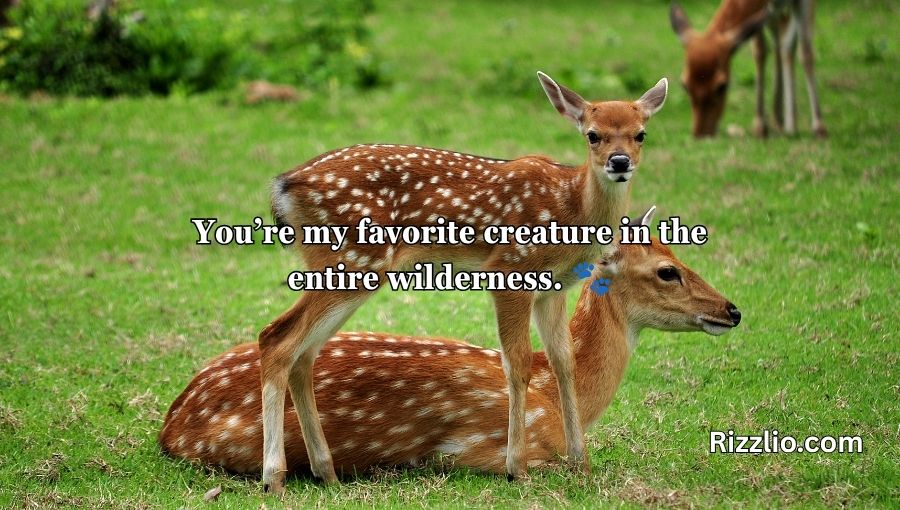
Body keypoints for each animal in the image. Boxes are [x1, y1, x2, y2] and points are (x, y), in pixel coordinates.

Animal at [257, 71, 668, 491]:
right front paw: (516, 467)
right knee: (277, 337)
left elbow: (563, 361)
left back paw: (326, 472)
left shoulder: (553, 288)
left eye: (640, 134)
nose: (619, 162)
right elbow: (518, 362)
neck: (571, 209)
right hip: (353, 258)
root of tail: (283, 187)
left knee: (303, 353)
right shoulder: (510, 267)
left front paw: (580, 465)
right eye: (592, 134)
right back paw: (273, 477)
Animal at [670, 0, 827, 138]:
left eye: (722, 86)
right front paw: (759, 126)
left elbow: (806, 53)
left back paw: (790, 124)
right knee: (779, 41)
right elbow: (759, 51)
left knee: (787, 44)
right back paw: (779, 119)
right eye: (684, 84)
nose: (701, 134)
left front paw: (819, 127)